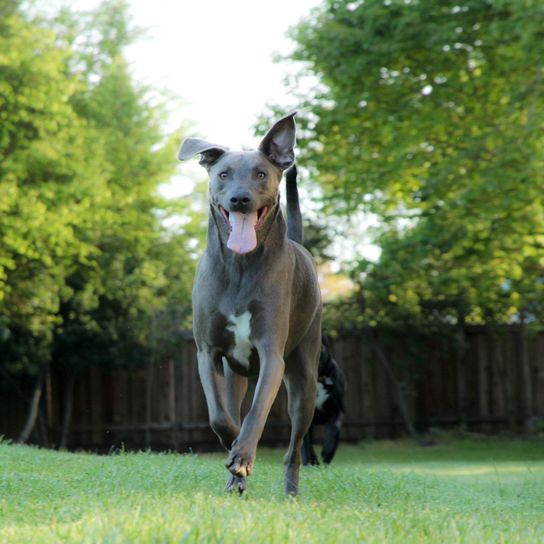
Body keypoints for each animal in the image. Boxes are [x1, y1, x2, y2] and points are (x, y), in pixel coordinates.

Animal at [178, 112, 324, 496]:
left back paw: (290, 490)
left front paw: (242, 456)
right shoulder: (207, 352)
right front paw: (234, 453)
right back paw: (235, 481)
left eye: (261, 173)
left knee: (295, 446)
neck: (240, 266)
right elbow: (221, 416)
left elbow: (256, 414)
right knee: (233, 407)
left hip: (305, 379)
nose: (239, 199)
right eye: (223, 174)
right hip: (235, 375)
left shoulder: (272, 353)